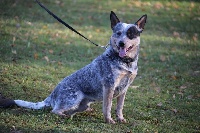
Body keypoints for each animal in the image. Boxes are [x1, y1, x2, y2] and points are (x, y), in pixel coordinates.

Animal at [0, 11, 147, 123]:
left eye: (130, 34)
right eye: (118, 33)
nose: (121, 43)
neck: (125, 62)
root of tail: (52, 95)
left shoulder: (124, 89)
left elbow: (119, 107)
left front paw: (120, 119)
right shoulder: (109, 86)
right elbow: (107, 107)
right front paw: (109, 120)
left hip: (83, 105)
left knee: (71, 111)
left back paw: (70, 115)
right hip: (73, 98)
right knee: (55, 110)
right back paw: (63, 115)